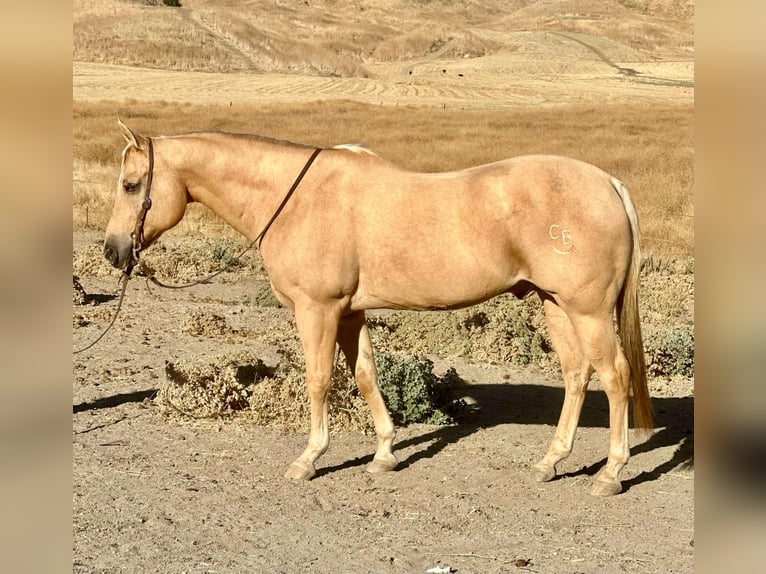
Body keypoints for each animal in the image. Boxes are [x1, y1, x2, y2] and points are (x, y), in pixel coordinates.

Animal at [103, 121, 656, 500]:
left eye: (131, 185)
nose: (113, 251)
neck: (297, 199)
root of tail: (607, 183)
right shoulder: (349, 313)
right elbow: (366, 376)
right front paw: (386, 453)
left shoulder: (318, 310)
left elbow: (319, 380)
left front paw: (309, 458)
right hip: (557, 305)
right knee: (577, 373)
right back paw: (551, 461)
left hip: (587, 311)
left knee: (614, 375)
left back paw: (611, 473)